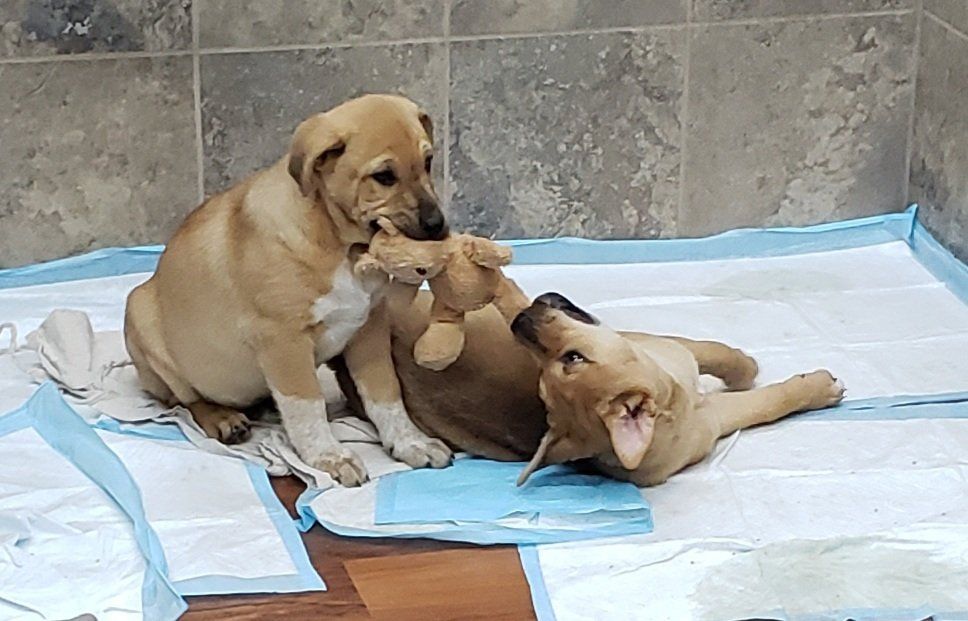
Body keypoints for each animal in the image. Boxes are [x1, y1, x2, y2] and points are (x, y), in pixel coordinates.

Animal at [124, 94, 453, 486]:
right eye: (384, 177)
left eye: (428, 162)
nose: (438, 226)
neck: (340, 245)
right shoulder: (282, 340)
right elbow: (306, 407)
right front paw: (330, 457)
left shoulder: (369, 328)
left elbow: (385, 394)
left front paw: (410, 442)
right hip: (142, 320)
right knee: (184, 401)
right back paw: (222, 418)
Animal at [335, 282, 845, 486]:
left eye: (571, 359)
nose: (521, 321)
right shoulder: (703, 401)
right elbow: (762, 395)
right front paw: (811, 386)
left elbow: (714, 352)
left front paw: (743, 367)